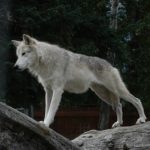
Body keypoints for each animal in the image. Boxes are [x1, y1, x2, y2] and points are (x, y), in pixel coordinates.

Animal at [11, 34, 146, 128]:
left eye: (24, 54)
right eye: (18, 55)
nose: (15, 67)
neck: (45, 60)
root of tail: (110, 65)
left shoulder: (57, 90)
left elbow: (51, 110)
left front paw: (46, 124)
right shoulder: (48, 90)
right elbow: (47, 109)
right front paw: (44, 122)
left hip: (116, 90)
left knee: (137, 100)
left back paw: (142, 119)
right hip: (103, 95)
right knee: (119, 105)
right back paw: (118, 123)